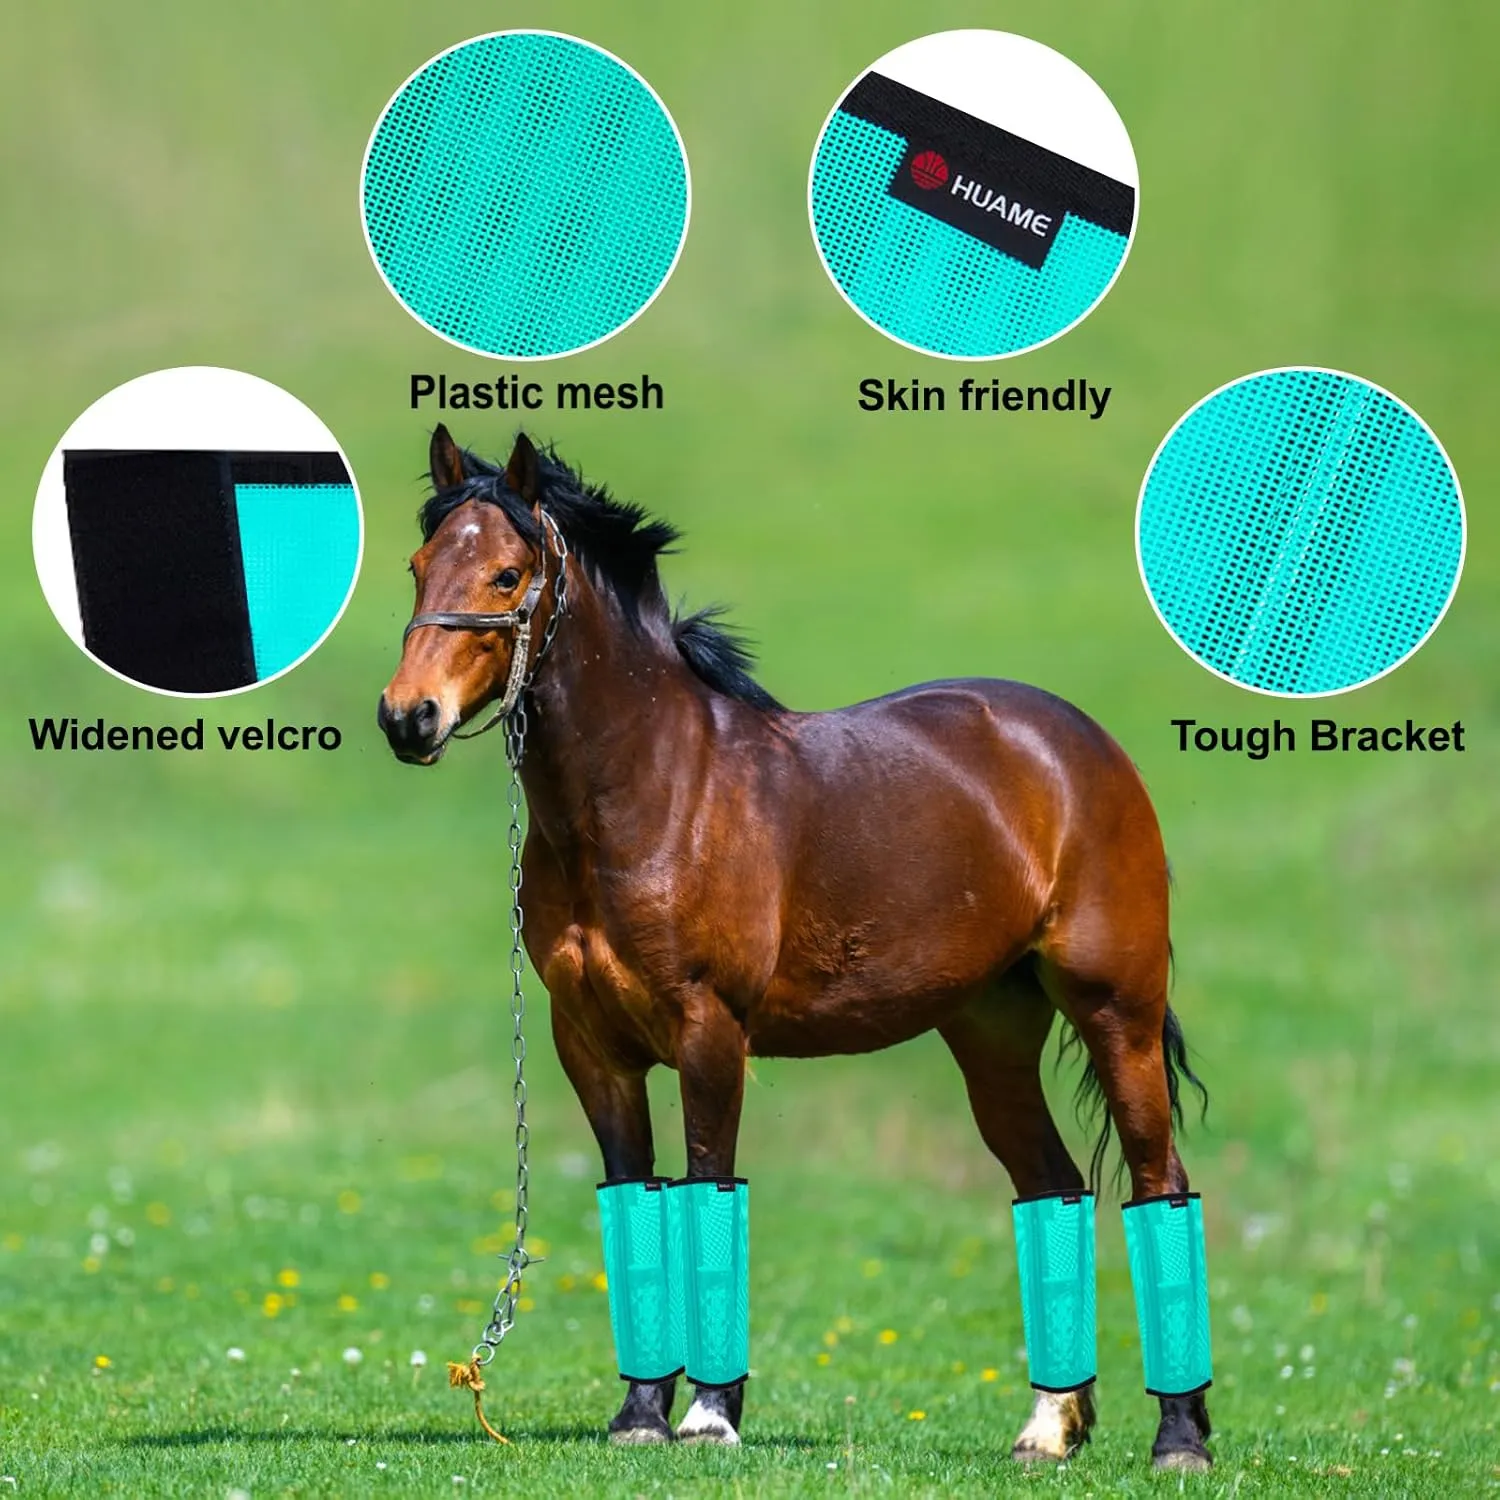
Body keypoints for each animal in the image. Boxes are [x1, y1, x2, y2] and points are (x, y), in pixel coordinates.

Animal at [378, 427, 1213, 1471]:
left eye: (506, 573)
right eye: (419, 566)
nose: (407, 718)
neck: (652, 793)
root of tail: (1080, 744)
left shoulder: (710, 1032)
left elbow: (708, 1185)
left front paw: (709, 1414)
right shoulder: (592, 1047)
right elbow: (635, 1195)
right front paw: (640, 1414)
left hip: (1116, 1016)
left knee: (1160, 1184)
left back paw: (1180, 1437)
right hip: (991, 1038)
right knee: (1053, 1189)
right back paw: (1048, 1427)